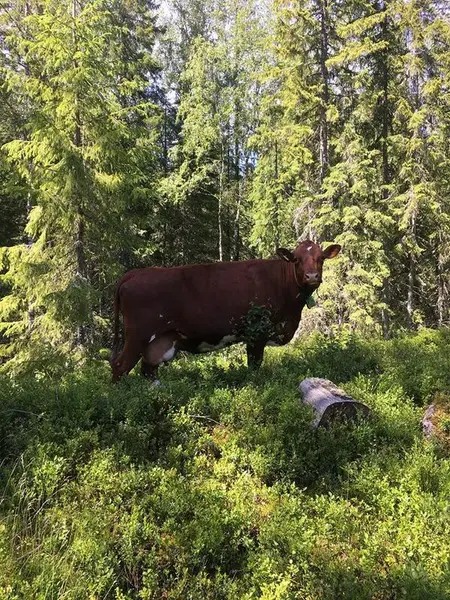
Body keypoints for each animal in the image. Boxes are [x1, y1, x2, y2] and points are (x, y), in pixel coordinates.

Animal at [110, 239, 340, 380]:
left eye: (321, 258)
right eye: (297, 260)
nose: (312, 276)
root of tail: (135, 273)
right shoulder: (256, 332)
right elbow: (254, 366)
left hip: (160, 340)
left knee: (148, 369)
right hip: (138, 334)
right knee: (120, 367)